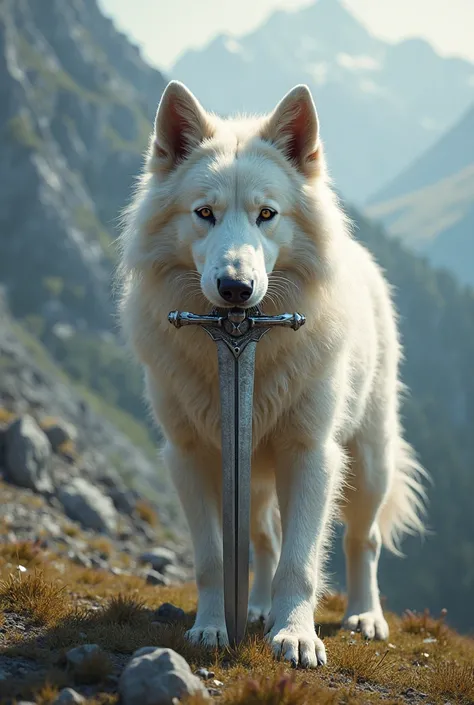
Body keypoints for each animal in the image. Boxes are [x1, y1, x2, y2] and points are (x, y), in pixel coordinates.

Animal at [117, 81, 426, 664]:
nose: (236, 289)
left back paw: (364, 616)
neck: (240, 341)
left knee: (363, 539)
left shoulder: (310, 454)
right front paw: (215, 629)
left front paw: (295, 636)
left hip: (369, 460)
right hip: (254, 476)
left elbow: (301, 562)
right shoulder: (190, 455)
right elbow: (215, 559)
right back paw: (255, 608)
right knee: (263, 539)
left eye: (267, 214)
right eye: (205, 213)